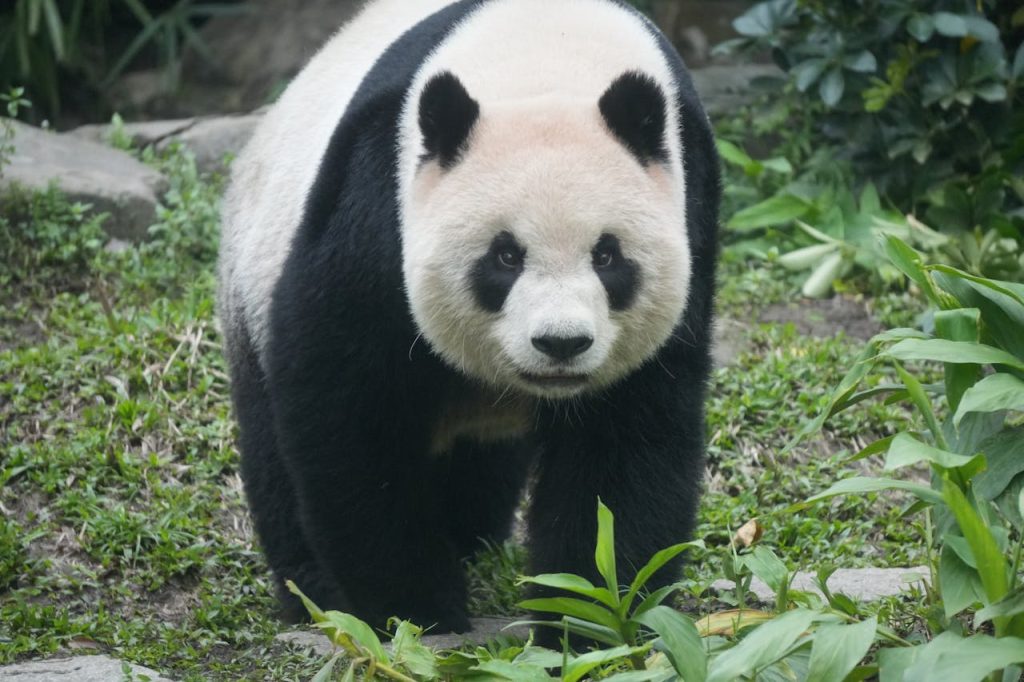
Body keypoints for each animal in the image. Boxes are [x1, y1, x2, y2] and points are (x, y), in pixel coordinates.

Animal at [217, 0, 719, 634]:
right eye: (505, 256)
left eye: (607, 256)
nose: (561, 344)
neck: (546, 55)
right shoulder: (377, 195)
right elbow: (349, 404)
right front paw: (416, 610)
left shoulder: (691, 200)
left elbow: (627, 434)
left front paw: (595, 615)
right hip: (252, 270)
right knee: (271, 446)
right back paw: (311, 587)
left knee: (479, 465)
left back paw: (469, 536)